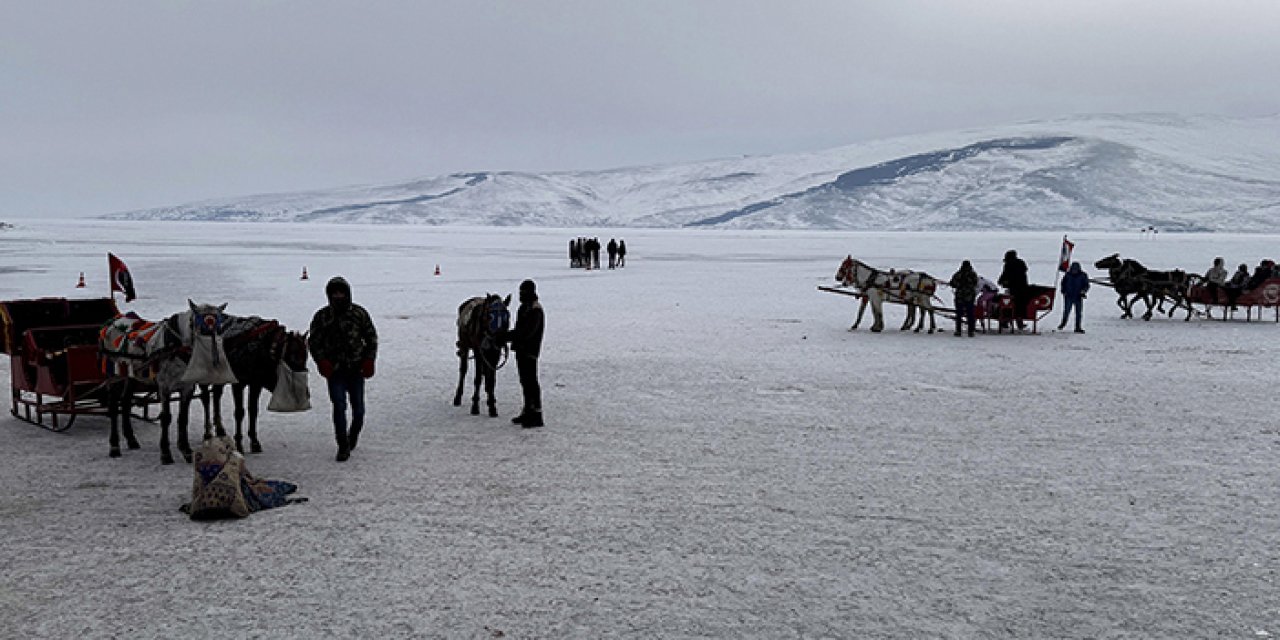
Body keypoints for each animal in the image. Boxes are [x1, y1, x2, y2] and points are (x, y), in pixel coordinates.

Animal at [101, 299, 234, 465]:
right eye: (200, 326)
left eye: (219, 327)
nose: (212, 360)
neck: (177, 347)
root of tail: (113, 322)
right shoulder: (164, 387)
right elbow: (166, 418)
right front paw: (165, 453)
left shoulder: (187, 387)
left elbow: (183, 418)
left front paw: (186, 450)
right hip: (114, 375)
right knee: (114, 406)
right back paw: (114, 446)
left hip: (131, 376)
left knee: (125, 402)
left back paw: (131, 440)